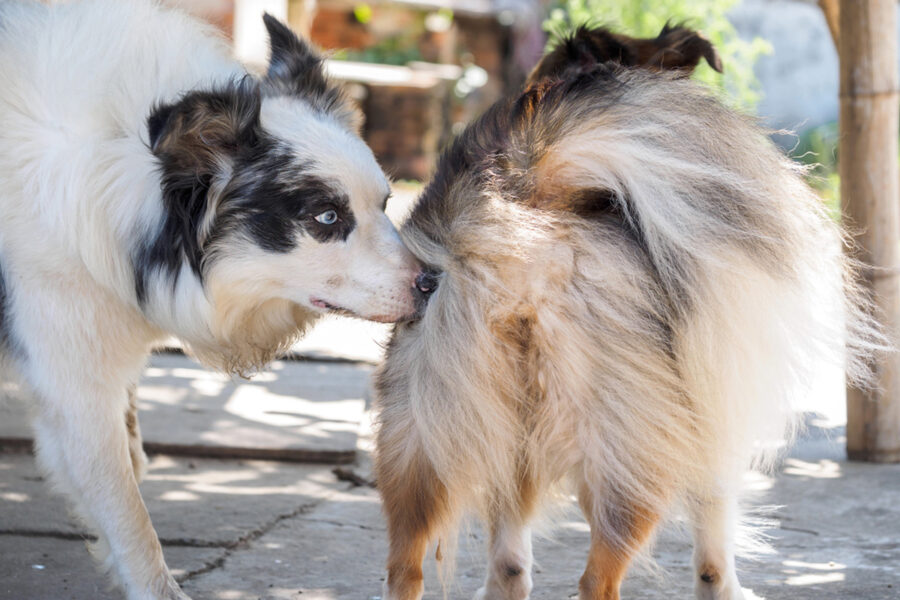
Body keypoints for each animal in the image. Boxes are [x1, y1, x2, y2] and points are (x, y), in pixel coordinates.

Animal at [370, 25, 880, 600]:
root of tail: (518, 198)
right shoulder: (709, 406)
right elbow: (715, 521)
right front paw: (725, 587)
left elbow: (509, 560)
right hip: (635, 451)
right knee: (598, 578)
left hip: (420, 434)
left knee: (413, 566)